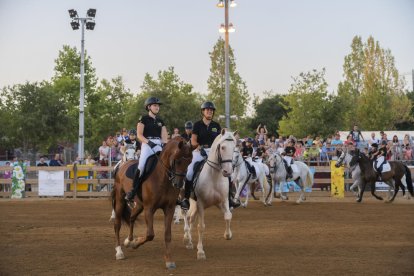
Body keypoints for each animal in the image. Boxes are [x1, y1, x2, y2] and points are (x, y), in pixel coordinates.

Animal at [111, 137, 192, 268]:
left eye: (190, 162)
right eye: (177, 161)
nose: (179, 184)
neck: (162, 177)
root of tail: (124, 165)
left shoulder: (169, 208)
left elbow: (167, 234)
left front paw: (169, 260)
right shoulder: (149, 208)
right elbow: (150, 234)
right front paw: (136, 243)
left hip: (139, 205)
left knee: (131, 218)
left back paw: (128, 240)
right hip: (120, 201)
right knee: (117, 224)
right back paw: (119, 252)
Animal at [183, 128, 238, 260]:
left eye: (234, 147)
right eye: (222, 147)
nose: (227, 172)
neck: (214, 176)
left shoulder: (223, 201)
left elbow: (228, 216)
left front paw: (228, 235)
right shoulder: (201, 204)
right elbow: (201, 227)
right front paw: (200, 252)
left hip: (195, 203)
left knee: (191, 217)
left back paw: (190, 242)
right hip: (186, 199)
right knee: (186, 216)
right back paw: (187, 238)